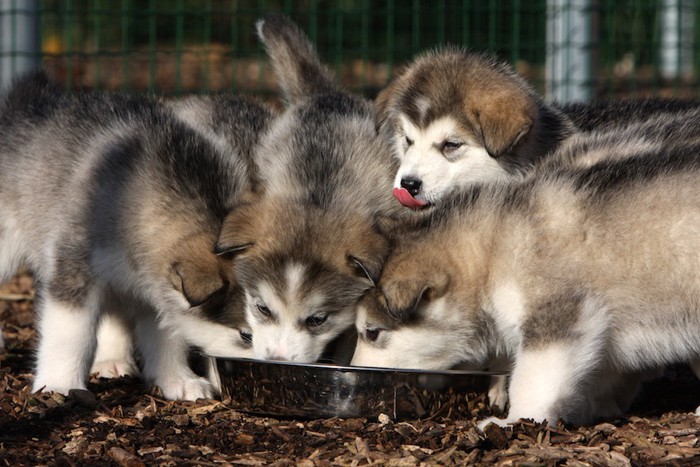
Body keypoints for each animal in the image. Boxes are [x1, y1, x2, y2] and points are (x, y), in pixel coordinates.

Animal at [352, 128, 700, 428]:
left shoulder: (555, 317)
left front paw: (515, 421)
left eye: (372, 332)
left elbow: (531, 379)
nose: (353, 372)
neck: (494, 250)